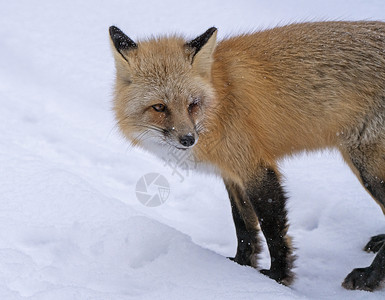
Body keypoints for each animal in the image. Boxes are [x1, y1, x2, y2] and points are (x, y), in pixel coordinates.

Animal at [107, 22, 384, 292]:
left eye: (192, 104)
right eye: (159, 107)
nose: (188, 139)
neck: (220, 100)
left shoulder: (256, 168)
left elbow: (272, 229)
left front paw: (277, 277)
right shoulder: (232, 173)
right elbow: (243, 224)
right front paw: (241, 266)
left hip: (367, 168)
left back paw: (369, 277)